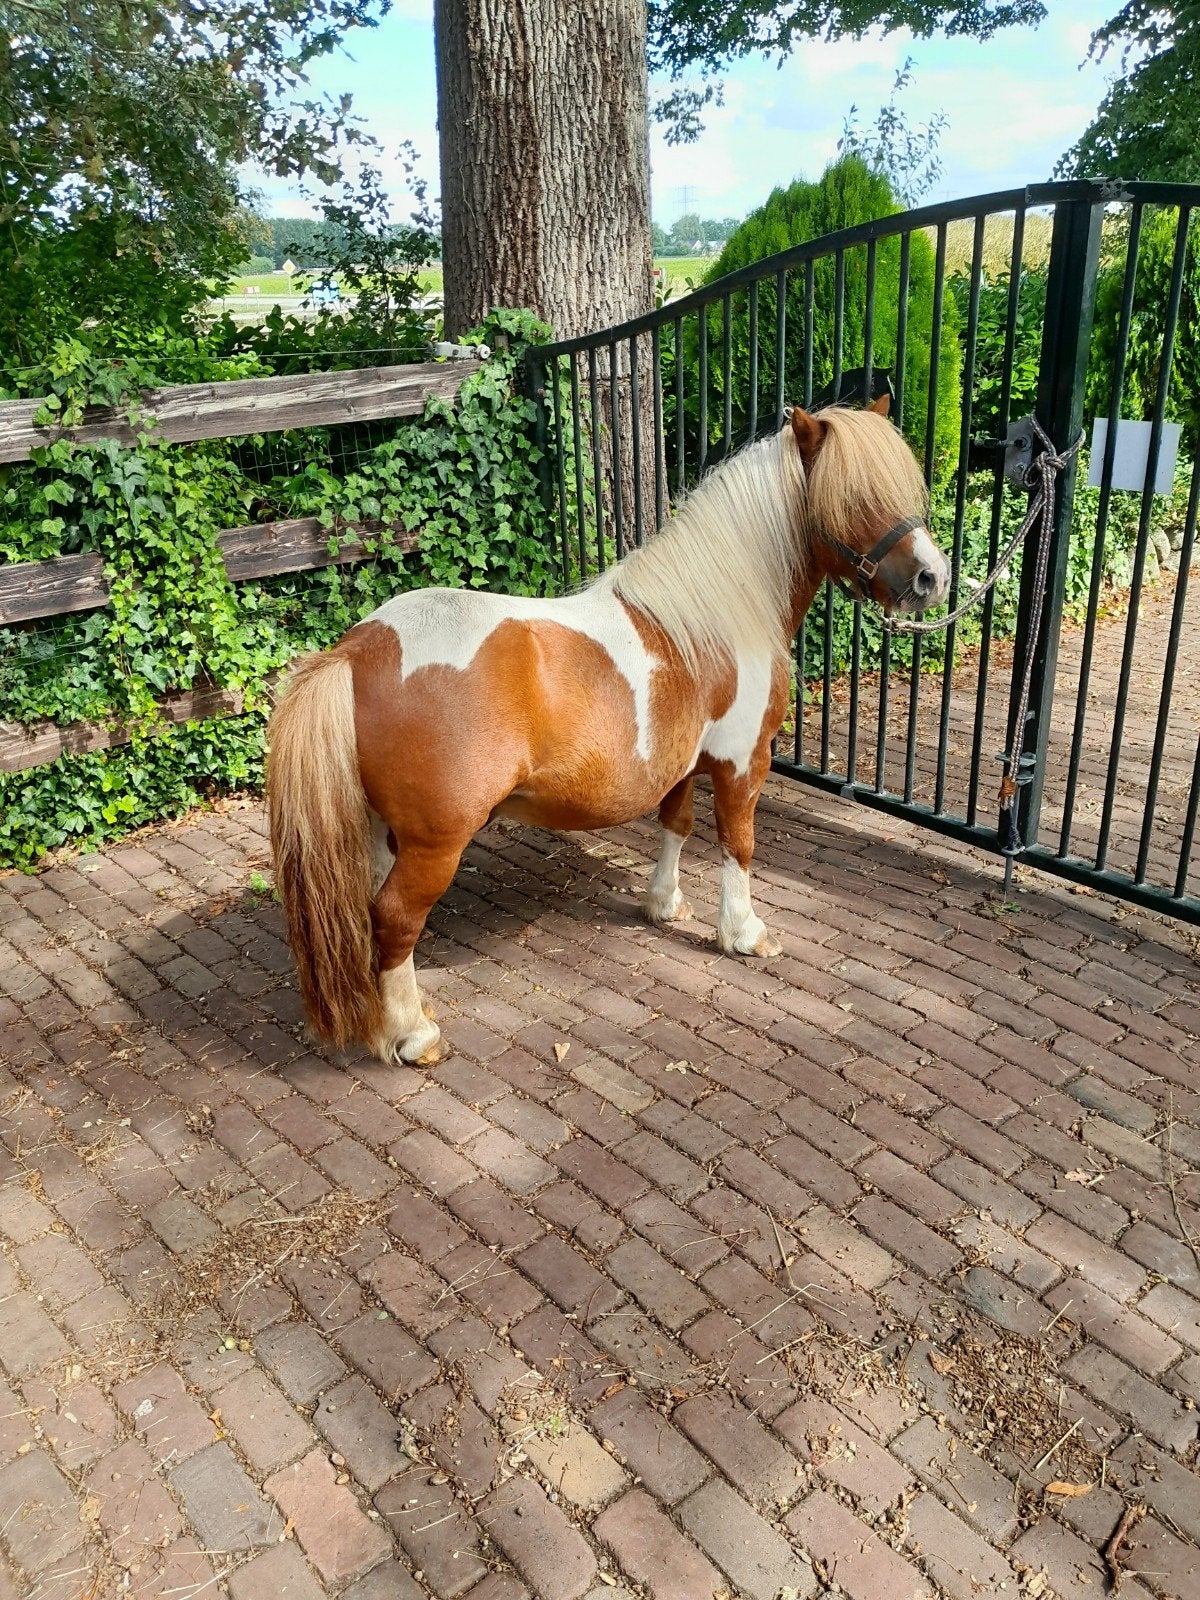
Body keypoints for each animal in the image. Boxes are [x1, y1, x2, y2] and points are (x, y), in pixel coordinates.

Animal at [267, 398, 950, 1067]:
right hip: (436, 844)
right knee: (394, 920)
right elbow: (739, 845)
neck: (713, 618)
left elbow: (677, 825)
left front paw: (665, 904)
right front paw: (744, 933)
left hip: (384, 830)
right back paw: (413, 1035)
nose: (932, 577)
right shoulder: (740, 764)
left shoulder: (682, 763)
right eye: (854, 497)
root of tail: (358, 650)